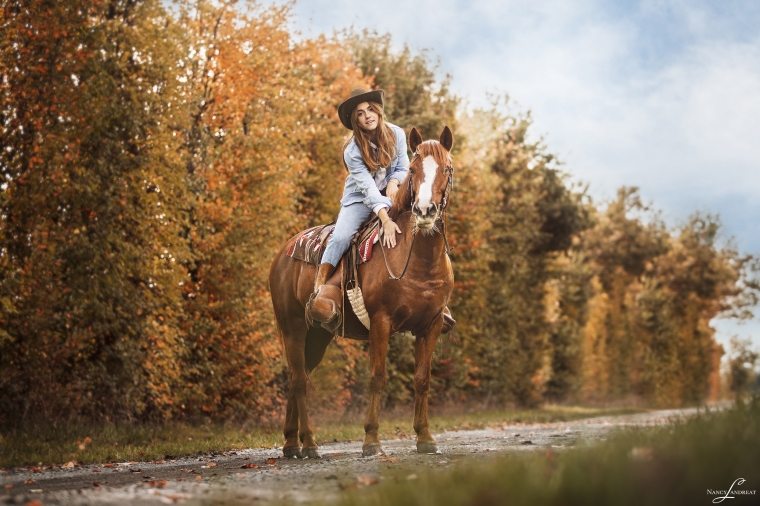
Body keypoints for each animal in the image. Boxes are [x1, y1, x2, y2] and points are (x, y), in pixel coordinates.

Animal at [268, 126, 454, 458]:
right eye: (414, 170)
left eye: (446, 168)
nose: (424, 211)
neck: (418, 262)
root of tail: (282, 253)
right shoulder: (381, 322)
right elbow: (377, 378)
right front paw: (371, 440)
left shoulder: (430, 325)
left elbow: (422, 379)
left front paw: (425, 437)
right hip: (293, 328)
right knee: (300, 381)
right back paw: (310, 444)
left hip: (318, 335)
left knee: (299, 376)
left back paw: (291, 443)